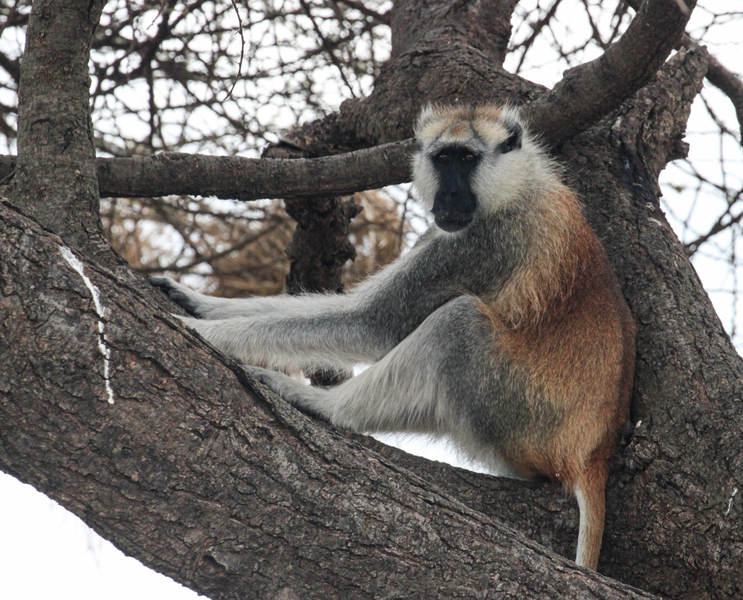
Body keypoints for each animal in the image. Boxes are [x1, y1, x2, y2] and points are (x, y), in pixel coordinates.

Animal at [151, 105, 635, 571]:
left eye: (467, 159)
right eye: (442, 158)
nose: (450, 194)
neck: (517, 184)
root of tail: (593, 452)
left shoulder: (480, 243)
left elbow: (372, 322)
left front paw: (203, 329)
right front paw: (198, 302)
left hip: (524, 412)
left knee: (456, 323)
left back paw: (326, 406)